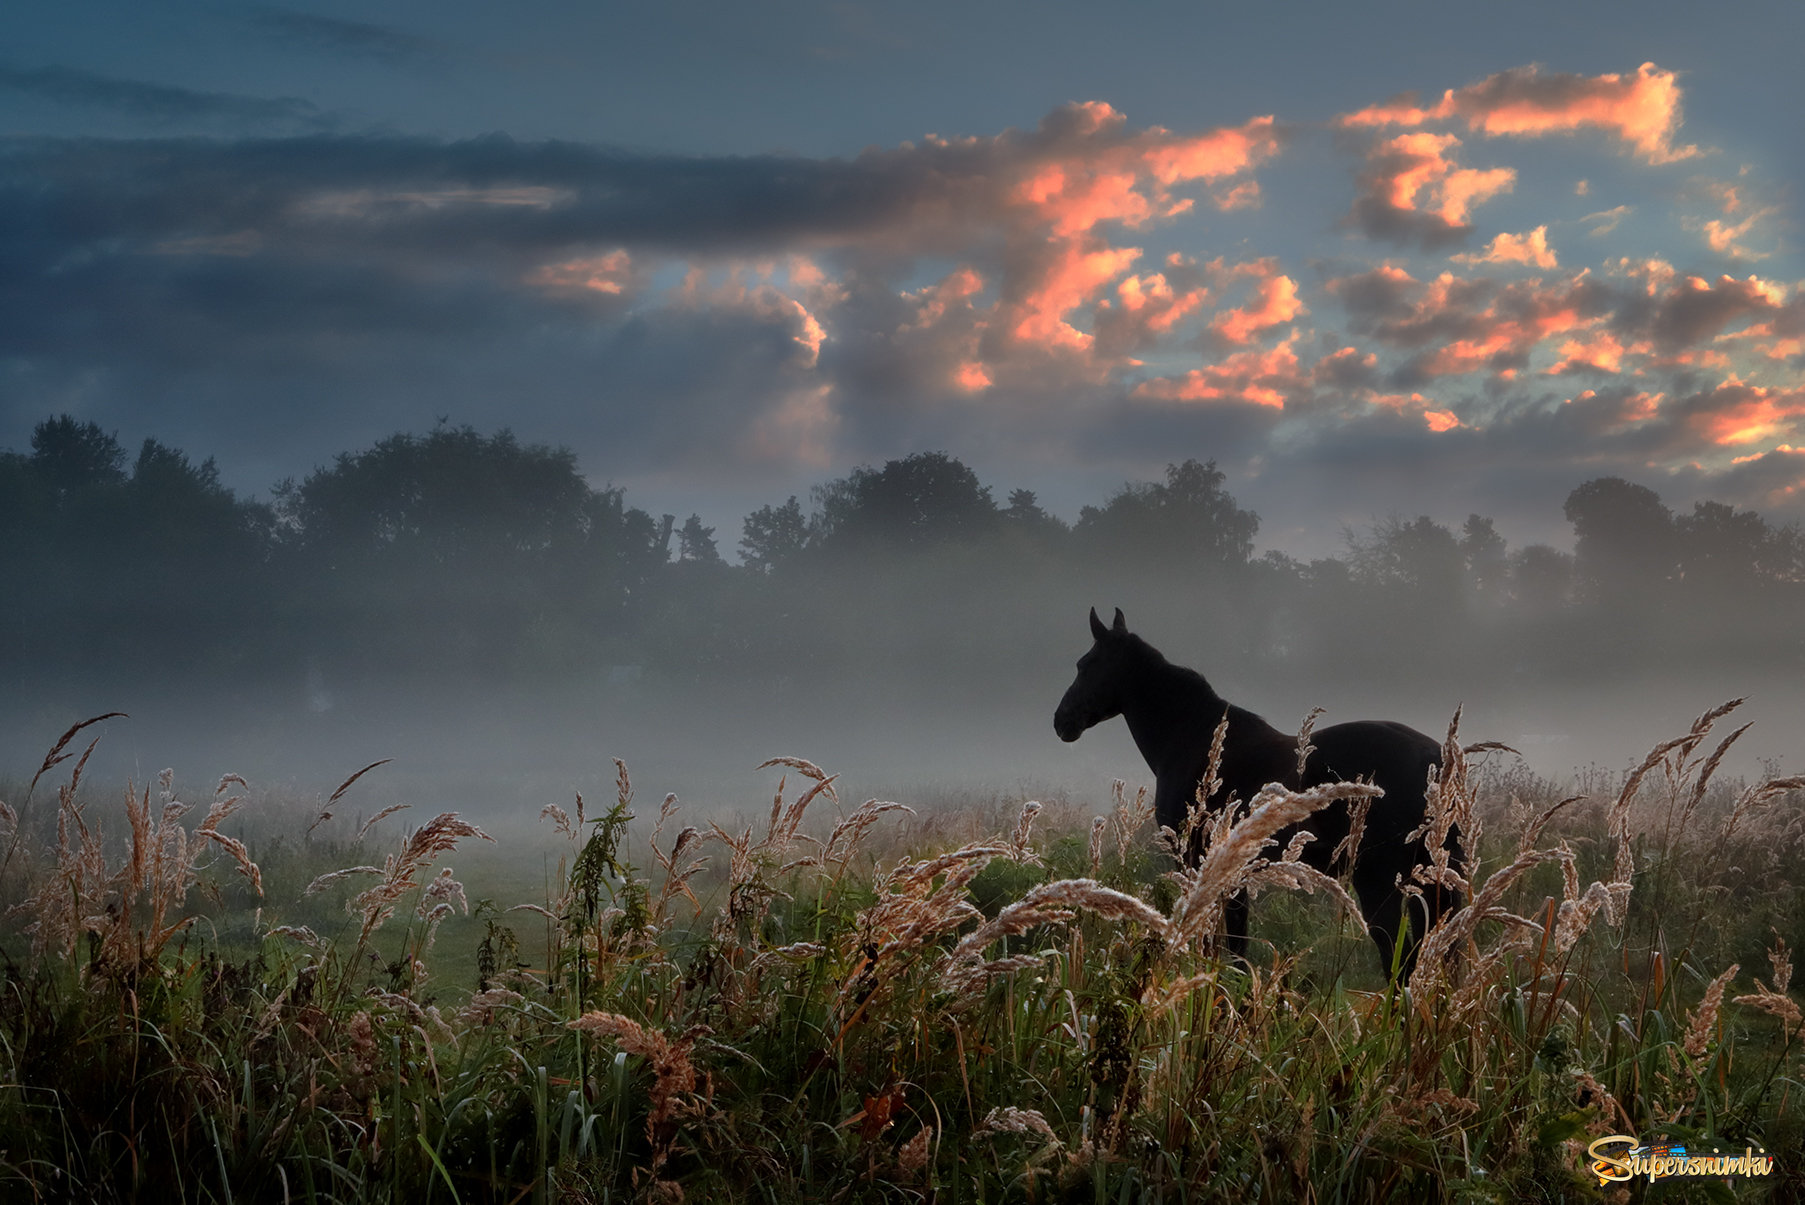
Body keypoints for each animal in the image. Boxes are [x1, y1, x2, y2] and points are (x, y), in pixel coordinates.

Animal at [1054, 606, 1458, 974]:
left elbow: (1218, 946)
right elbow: (1235, 947)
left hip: (1377, 881)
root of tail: (1433, 757)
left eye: (1085, 664)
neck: (1191, 738)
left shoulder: (1196, 861)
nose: (1061, 721)